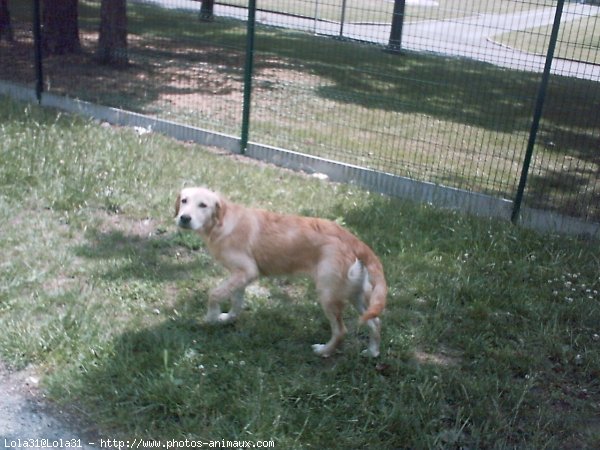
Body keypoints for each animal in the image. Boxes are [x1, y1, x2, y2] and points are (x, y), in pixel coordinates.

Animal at [176, 186, 386, 358]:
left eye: (203, 205)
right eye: (184, 200)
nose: (184, 218)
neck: (222, 222)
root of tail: (355, 241)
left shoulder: (247, 270)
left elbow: (214, 294)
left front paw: (211, 317)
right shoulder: (241, 275)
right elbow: (236, 300)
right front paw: (228, 318)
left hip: (328, 294)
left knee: (341, 331)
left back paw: (324, 351)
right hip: (355, 294)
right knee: (375, 322)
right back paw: (373, 352)